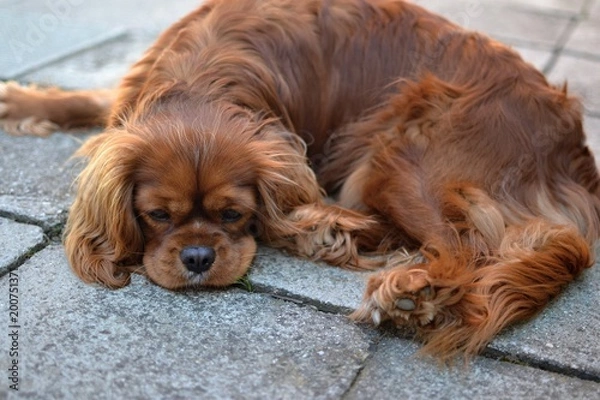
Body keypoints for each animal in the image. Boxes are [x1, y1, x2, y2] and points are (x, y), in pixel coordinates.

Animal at [1, 0, 600, 360]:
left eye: (233, 215)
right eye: (157, 216)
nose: (197, 257)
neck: (204, 72)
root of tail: (571, 147)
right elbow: (89, 101)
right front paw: (21, 101)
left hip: (397, 155)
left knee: (463, 248)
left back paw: (410, 290)